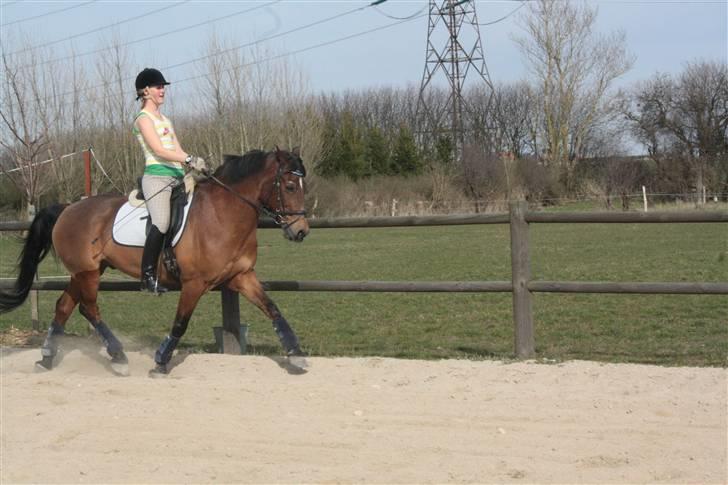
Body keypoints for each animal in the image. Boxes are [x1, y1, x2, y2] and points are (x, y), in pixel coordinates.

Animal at [0, 147, 310, 374]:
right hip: (87, 273)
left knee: (64, 306)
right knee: (89, 309)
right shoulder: (194, 283)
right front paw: (161, 361)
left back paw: (47, 358)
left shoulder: (242, 277)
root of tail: (68, 208)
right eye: (290, 186)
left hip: (84, 272)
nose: (301, 231)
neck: (223, 214)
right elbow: (180, 323)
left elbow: (273, 309)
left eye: (301, 185)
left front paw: (296, 355)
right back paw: (118, 357)